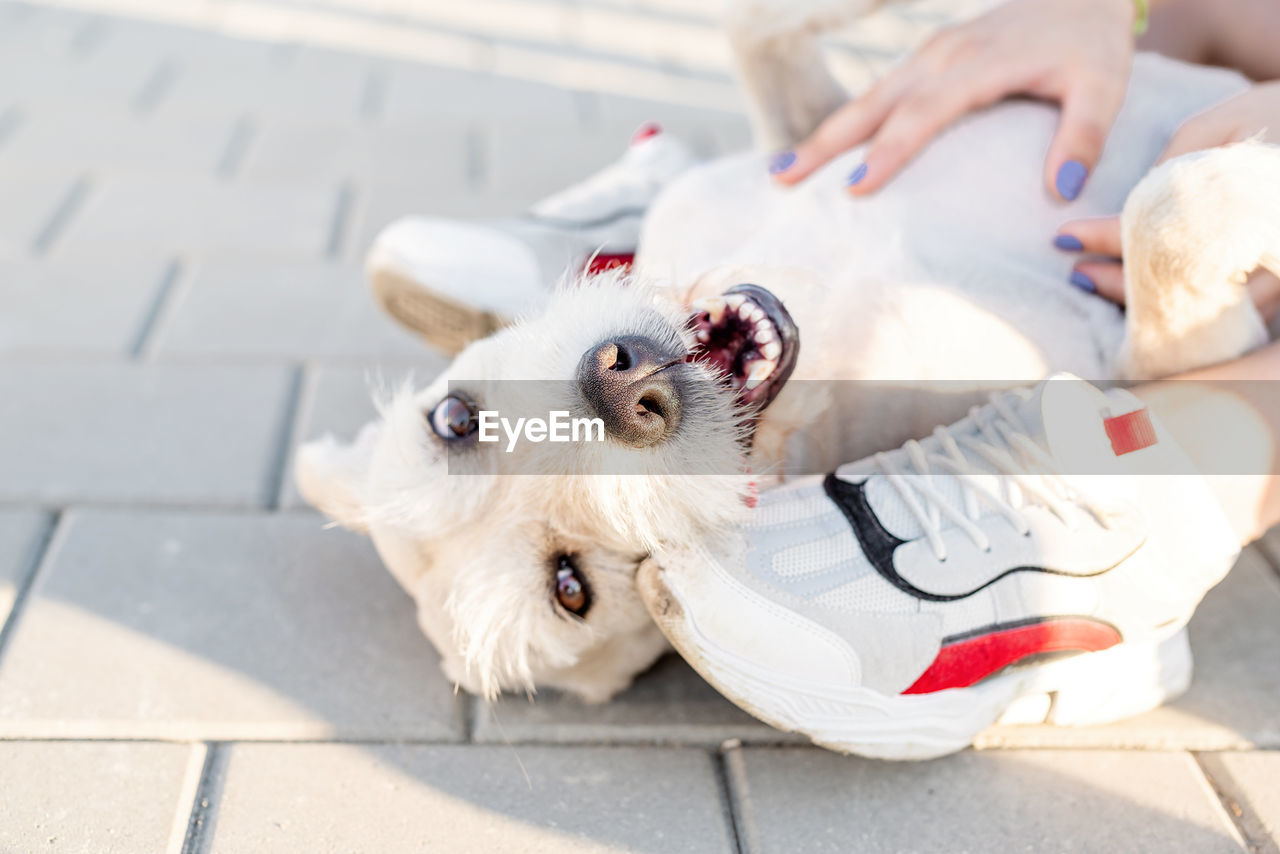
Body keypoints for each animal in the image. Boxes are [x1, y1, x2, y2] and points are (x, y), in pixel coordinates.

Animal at [294, 0, 1274, 701]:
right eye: (571, 588)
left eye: (453, 420)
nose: (624, 388)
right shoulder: (1150, 353)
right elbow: (1168, 215)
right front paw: (1248, 170)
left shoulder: (814, 132)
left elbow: (753, 25)